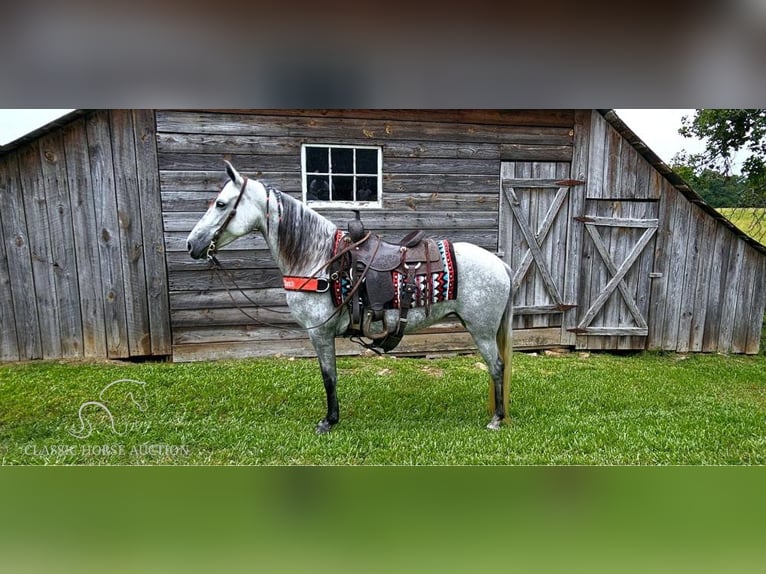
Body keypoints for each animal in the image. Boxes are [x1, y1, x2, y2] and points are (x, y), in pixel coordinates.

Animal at [187, 161, 512, 432]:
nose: (191, 244)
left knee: (497, 366)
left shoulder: (320, 332)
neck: (319, 260)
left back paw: (497, 419)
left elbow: (328, 376)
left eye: (221, 204)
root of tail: (501, 265)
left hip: (482, 330)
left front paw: (329, 421)